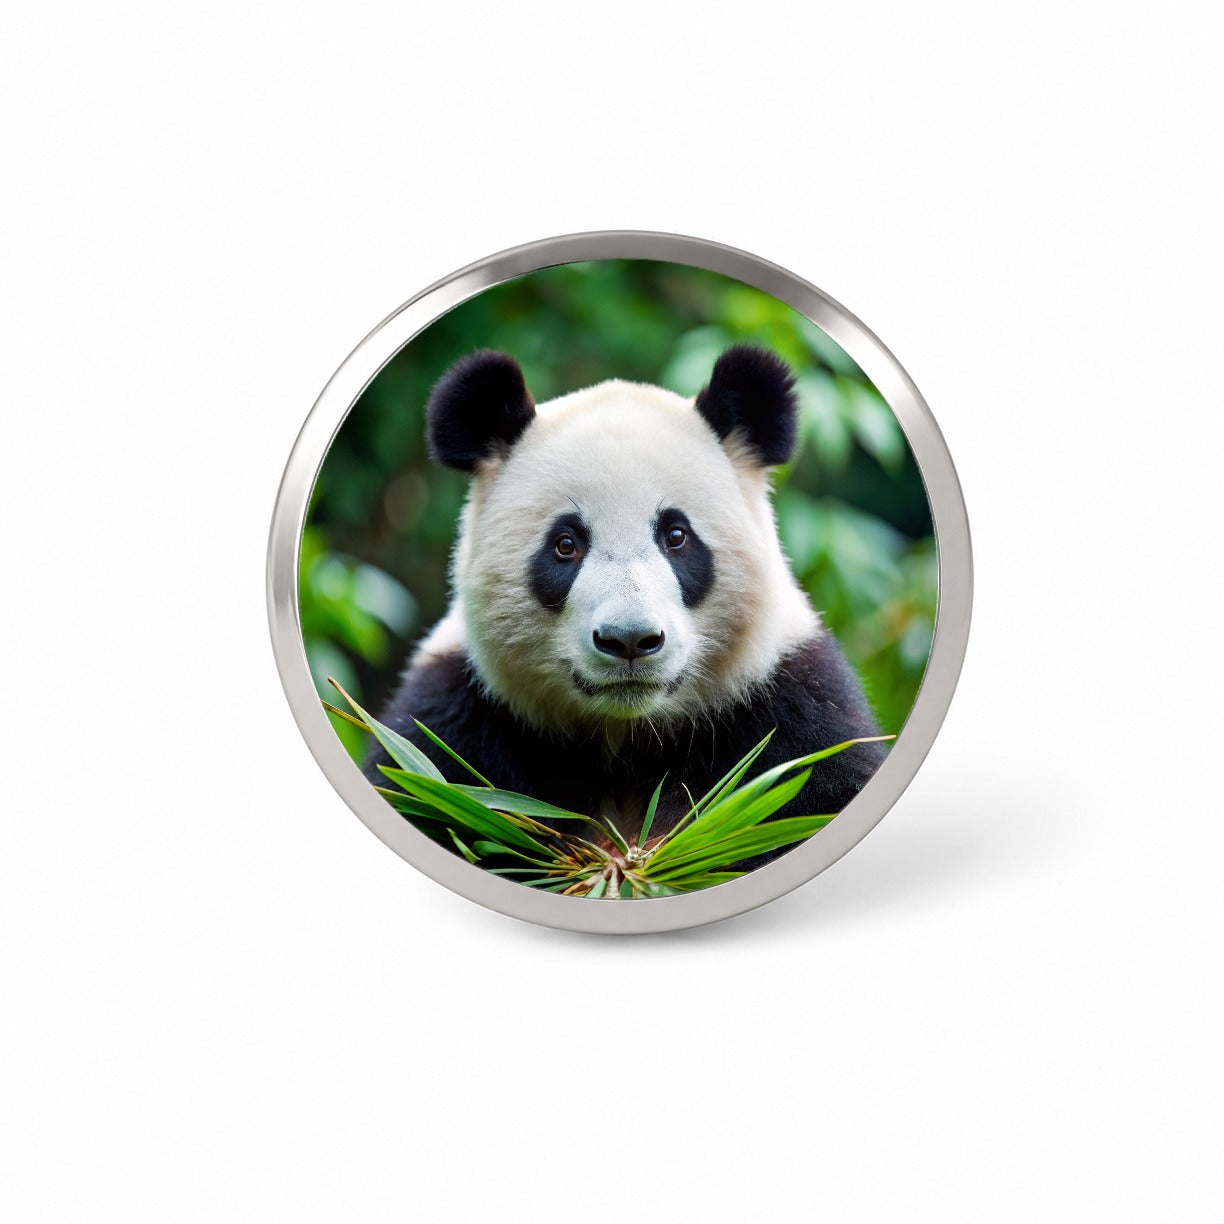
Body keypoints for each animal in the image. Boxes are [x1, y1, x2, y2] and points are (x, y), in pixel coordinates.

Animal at [363, 344, 887, 864]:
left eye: (676, 536)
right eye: (566, 544)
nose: (630, 639)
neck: (626, 741)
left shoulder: (790, 713)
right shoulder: (459, 722)